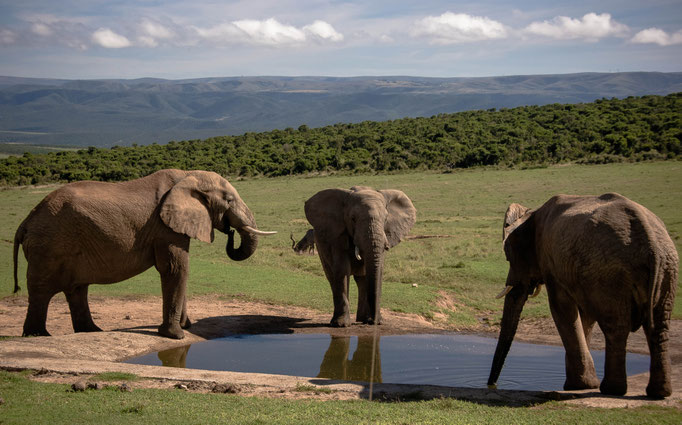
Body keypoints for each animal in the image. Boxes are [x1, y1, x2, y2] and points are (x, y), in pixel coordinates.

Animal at [13, 169, 275, 339]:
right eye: (229, 200)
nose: (230, 232)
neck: (188, 175)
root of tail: (26, 221)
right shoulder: (164, 227)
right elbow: (176, 268)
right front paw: (176, 335)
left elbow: (178, 270)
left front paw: (186, 327)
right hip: (49, 246)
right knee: (42, 291)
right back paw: (39, 335)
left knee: (77, 289)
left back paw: (91, 331)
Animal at [304, 186, 416, 327]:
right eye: (353, 218)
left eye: (386, 219)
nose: (375, 322)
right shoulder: (338, 235)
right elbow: (342, 270)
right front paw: (341, 325)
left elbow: (378, 271)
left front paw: (375, 321)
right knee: (332, 277)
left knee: (362, 280)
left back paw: (364, 319)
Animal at [488, 193, 678, 399]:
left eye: (508, 256)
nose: (491, 385)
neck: (533, 214)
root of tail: (651, 243)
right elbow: (584, 316)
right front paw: (582, 384)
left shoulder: (551, 261)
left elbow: (561, 308)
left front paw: (578, 386)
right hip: (667, 268)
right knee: (658, 325)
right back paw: (659, 392)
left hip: (610, 273)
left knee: (616, 327)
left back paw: (612, 389)